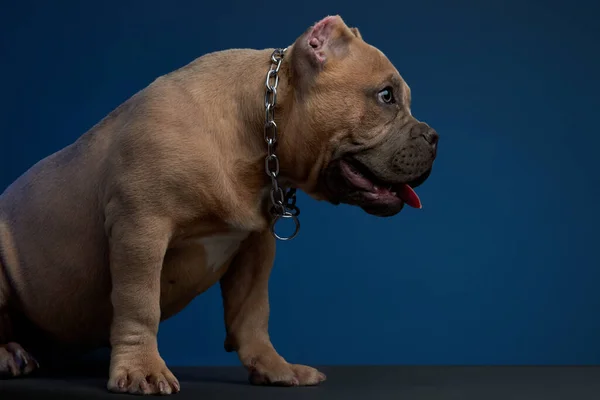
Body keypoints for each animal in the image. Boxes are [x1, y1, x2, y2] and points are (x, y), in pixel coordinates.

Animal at [1, 14, 440, 394]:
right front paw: (142, 368)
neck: (259, 132)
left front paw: (275, 367)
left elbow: (252, 313)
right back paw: (10, 354)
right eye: (386, 96)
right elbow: (139, 302)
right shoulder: (140, 229)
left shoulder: (255, 246)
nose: (435, 137)